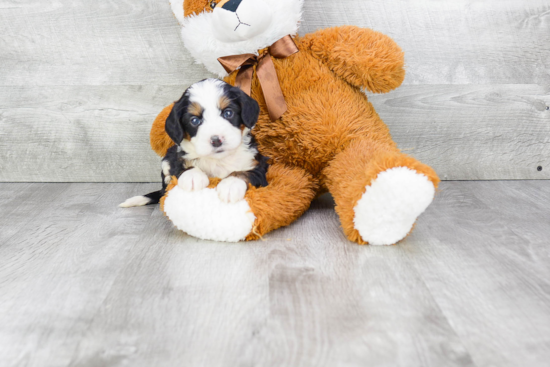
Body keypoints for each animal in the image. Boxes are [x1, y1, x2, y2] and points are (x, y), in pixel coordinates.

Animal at [121, 79, 270, 208]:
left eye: (228, 113)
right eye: (194, 121)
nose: (216, 140)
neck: (217, 160)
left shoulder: (257, 165)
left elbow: (243, 173)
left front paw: (230, 185)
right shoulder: (177, 157)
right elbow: (182, 167)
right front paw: (193, 177)